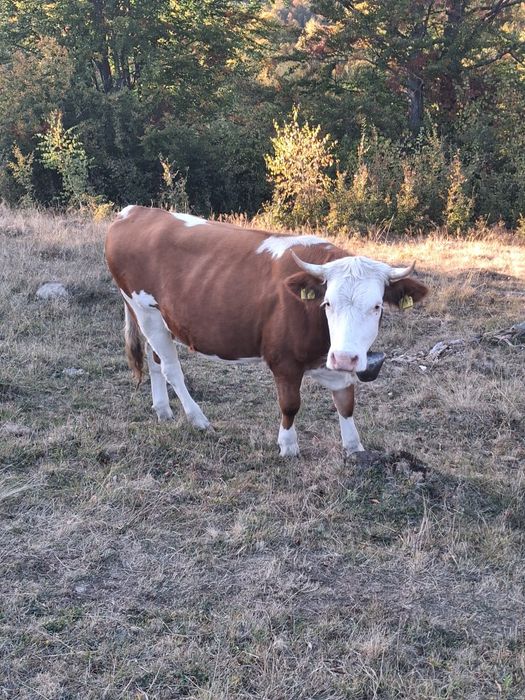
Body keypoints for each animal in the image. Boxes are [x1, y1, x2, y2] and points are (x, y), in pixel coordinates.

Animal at [105, 206, 428, 456]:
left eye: (377, 306)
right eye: (327, 303)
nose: (346, 357)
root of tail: (133, 211)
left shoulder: (335, 361)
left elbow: (346, 402)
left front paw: (354, 448)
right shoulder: (283, 359)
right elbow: (291, 404)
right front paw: (288, 446)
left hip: (155, 315)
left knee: (154, 360)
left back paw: (163, 409)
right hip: (144, 309)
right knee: (171, 368)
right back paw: (198, 419)